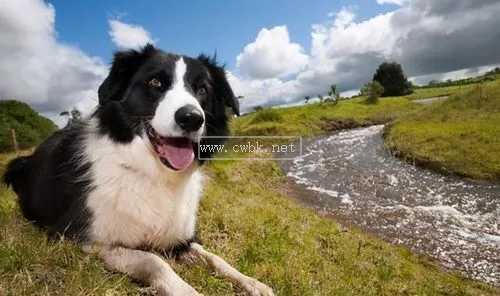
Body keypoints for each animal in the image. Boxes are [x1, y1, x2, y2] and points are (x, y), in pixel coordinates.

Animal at [2, 44, 274, 296]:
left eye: (202, 90)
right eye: (155, 82)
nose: (192, 118)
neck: (153, 173)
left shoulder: (181, 238)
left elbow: (216, 258)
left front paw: (252, 283)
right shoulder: (84, 239)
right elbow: (154, 261)